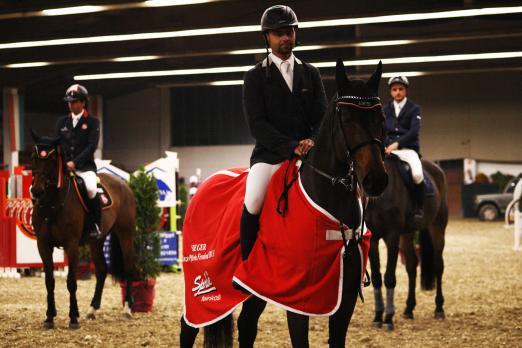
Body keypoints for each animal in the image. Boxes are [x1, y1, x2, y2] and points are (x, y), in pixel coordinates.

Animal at [29, 130, 136, 328]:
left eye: (52, 159)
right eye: (33, 156)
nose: (37, 191)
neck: (52, 204)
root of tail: (123, 183)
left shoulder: (71, 244)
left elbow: (71, 281)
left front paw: (72, 318)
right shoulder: (43, 245)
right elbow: (49, 281)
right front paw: (49, 318)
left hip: (125, 233)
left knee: (129, 267)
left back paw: (127, 308)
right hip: (97, 241)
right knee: (101, 270)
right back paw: (92, 310)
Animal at [179, 58, 386, 346]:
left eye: (381, 117)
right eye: (346, 118)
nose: (377, 180)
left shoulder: (344, 299)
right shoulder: (297, 298)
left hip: (255, 289)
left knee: (246, 325)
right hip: (205, 287)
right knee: (188, 325)